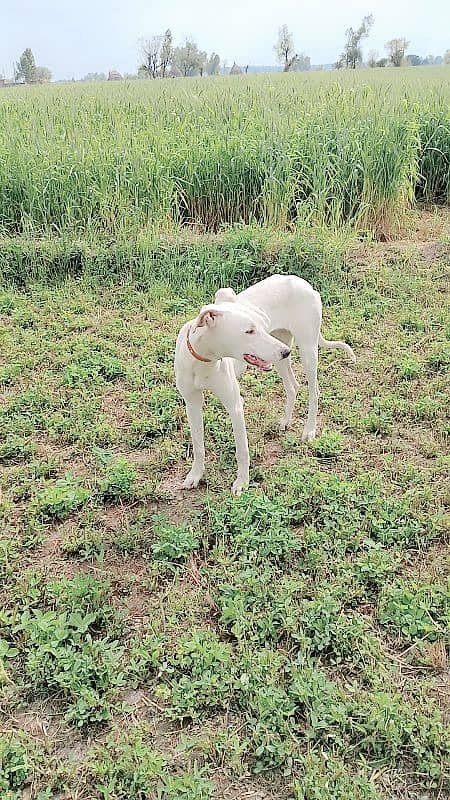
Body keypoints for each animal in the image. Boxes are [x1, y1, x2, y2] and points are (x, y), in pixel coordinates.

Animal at [175, 278, 356, 496]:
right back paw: (285, 421)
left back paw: (309, 430)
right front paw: (195, 475)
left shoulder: (235, 406)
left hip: (306, 349)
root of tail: (303, 283)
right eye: (249, 331)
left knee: (314, 392)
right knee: (293, 386)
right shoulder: (192, 403)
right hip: (280, 354)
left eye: (259, 326)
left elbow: (242, 450)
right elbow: (198, 445)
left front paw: (242, 482)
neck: (204, 360)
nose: (286, 352)